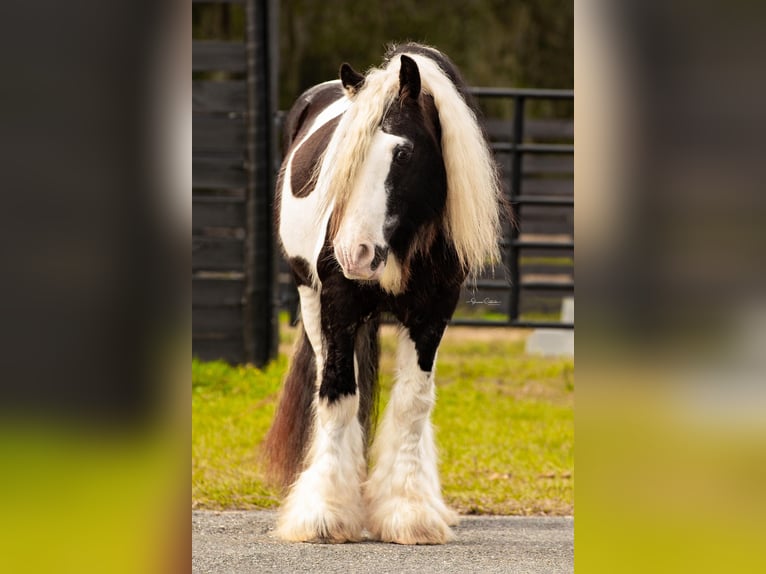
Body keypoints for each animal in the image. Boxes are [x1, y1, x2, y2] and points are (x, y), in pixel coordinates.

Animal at [264, 42, 504, 548]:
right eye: (343, 158)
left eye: (404, 152)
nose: (352, 253)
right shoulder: (338, 304)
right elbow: (338, 394)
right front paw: (324, 514)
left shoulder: (433, 313)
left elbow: (413, 402)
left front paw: (409, 511)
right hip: (310, 300)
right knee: (329, 378)